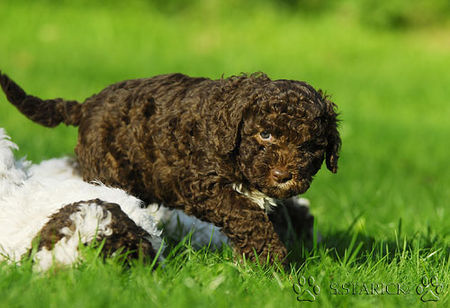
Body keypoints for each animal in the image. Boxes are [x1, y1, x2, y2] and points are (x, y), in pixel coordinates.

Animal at [0, 71, 338, 262]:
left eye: (311, 145)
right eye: (264, 134)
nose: (282, 176)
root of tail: (86, 105)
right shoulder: (203, 185)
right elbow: (247, 215)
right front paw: (271, 258)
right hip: (105, 171)